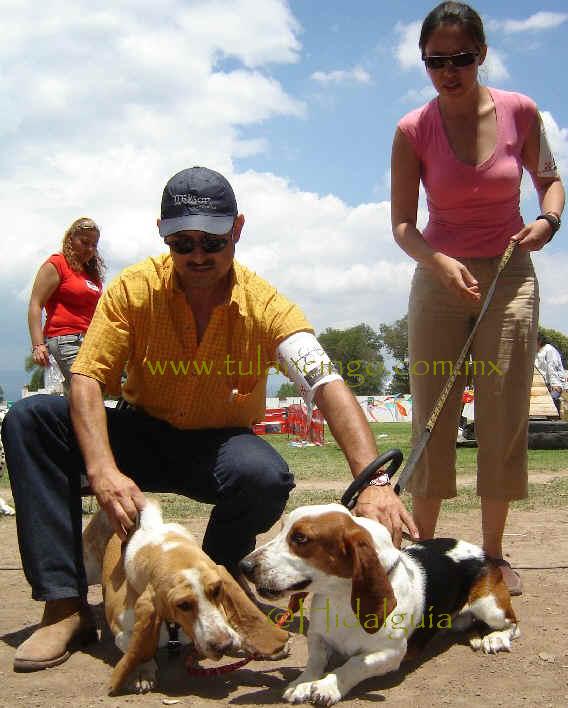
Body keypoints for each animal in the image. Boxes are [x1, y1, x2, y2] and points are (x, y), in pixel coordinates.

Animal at [83, 500, 288, 696]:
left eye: (216, 590)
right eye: (182, 604)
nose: (224, 646)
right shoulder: (122, 632)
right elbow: (138, 648)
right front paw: (142, 671)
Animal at [240, 506, 520, 704]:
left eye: (300, 538)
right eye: (281, 529)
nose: (244, 566)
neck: (340, 598)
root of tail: (478, 550)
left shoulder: (390, 653)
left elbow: (352, 664)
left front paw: (328, 686)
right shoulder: (318, 638)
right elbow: (314, 662)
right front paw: (302, 683)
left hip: (489, 606)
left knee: (513, 624)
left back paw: (494, 638)